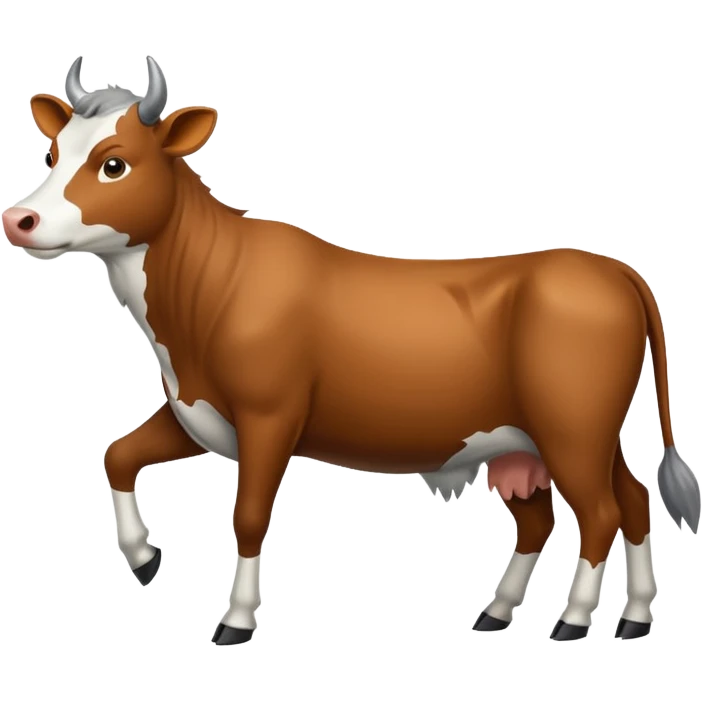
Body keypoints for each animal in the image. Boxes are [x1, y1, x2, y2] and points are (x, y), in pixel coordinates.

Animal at [2, 55, 700, 647]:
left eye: (114, 163)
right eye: (54, 151)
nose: (18, 220)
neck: (192, 309)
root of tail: (610, 268)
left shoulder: (269, 416)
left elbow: (248, 516)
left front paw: (236, 620)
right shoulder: (193, 410)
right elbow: (117, 455)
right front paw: (145, 557)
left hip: (572, 428)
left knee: (602, 512)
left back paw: (575, 621)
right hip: (541, 439)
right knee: (610, 506)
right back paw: (579, 616)